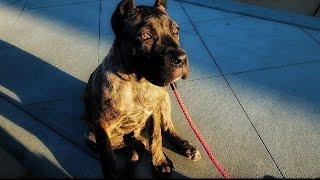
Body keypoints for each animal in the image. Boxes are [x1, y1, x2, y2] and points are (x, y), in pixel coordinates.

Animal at [84, 0, 201, 177]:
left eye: (176, 30)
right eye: (145, 36)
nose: (181, 59)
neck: (139, 82)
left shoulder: (156, 110)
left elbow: (156, 136)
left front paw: (159, 161)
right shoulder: (102, 127)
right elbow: (109, 161)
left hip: (165, 100)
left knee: (166, 129)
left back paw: (186, 147)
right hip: (92, 137)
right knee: (135, 148)